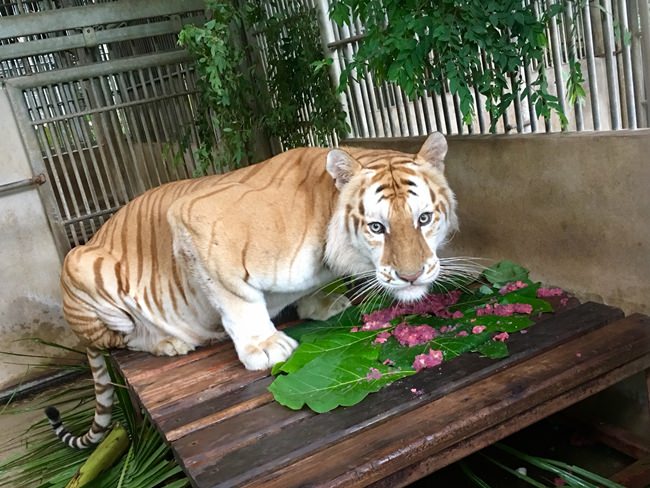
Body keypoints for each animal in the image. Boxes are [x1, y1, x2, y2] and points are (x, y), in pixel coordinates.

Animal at [46, 132, 458, 448]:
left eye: (424, 218)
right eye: (376, 227)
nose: (412, 276)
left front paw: (322, 303)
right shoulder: (196, 223)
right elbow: (240, 302)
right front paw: (265, 347)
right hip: (81, 268)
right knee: (120, 341)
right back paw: (171, 341)